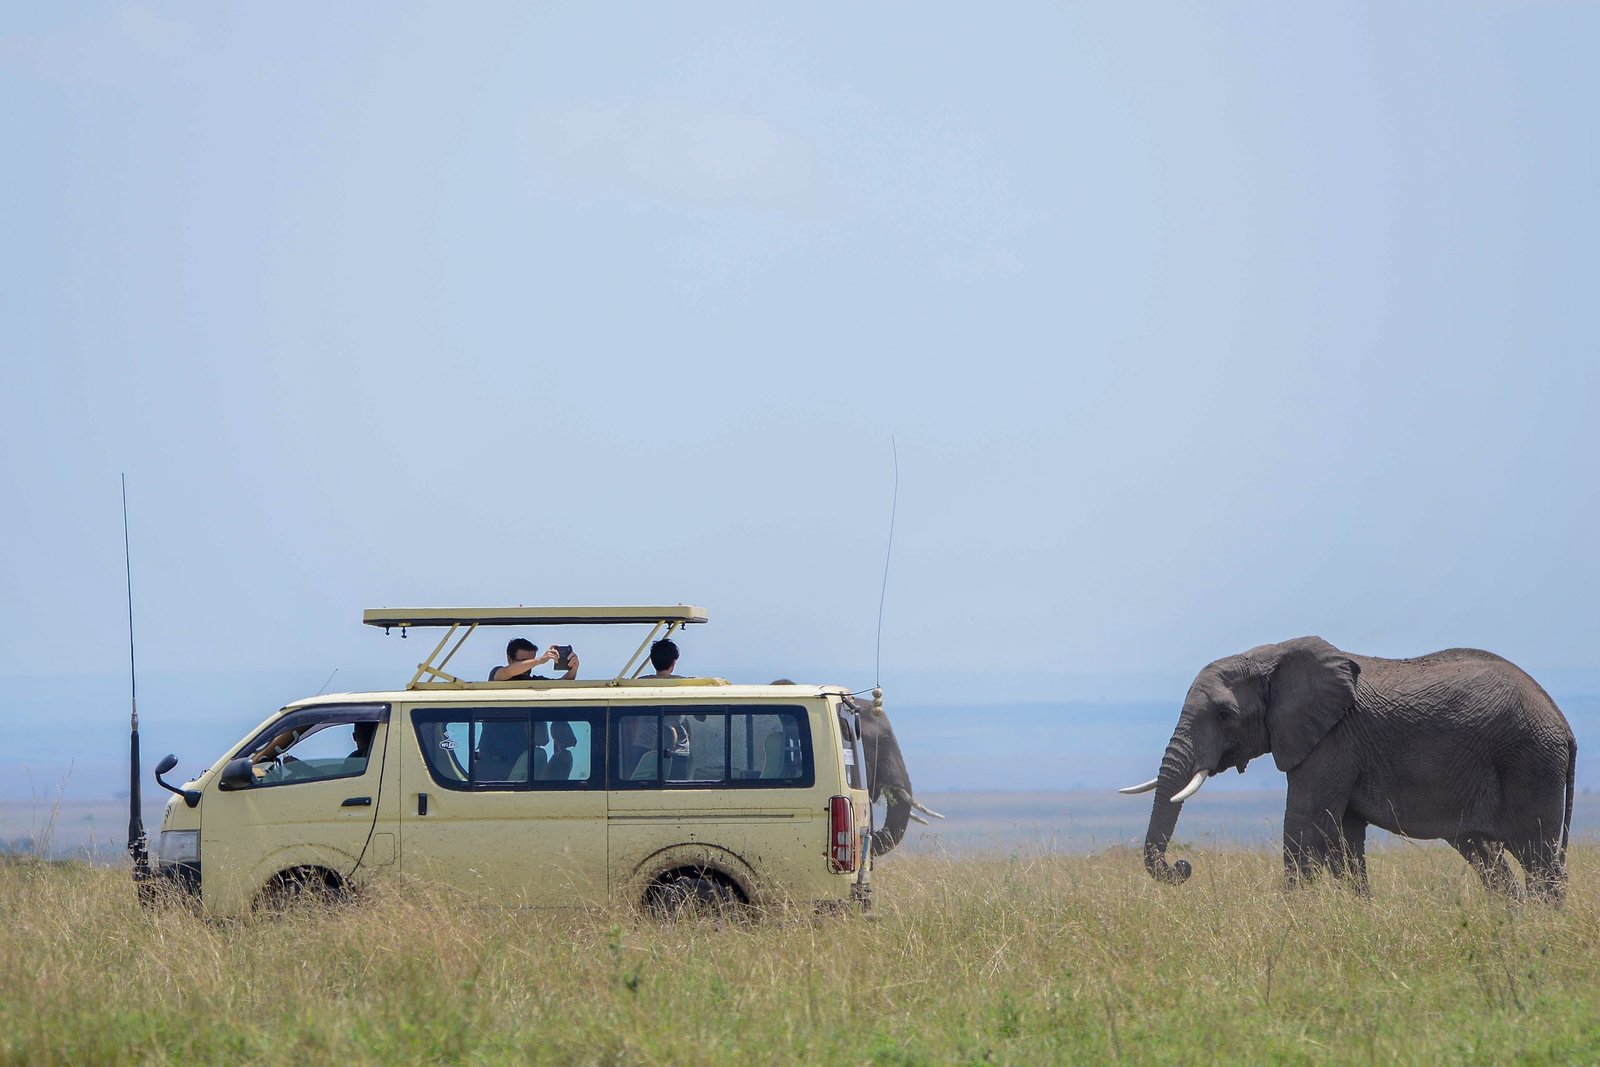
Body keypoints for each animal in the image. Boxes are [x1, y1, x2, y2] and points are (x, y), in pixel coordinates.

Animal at [1120, 637, 1576, 899]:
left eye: (1223, 716)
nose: (1182, 866)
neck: (1269, 657)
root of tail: (1565, 726)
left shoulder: (1333, 740)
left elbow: (1306, 826)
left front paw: (1294, 917)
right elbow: (1343, 840)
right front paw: (1357, 913)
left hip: (1531, 762)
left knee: (1538, 858)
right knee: (1488, 857)